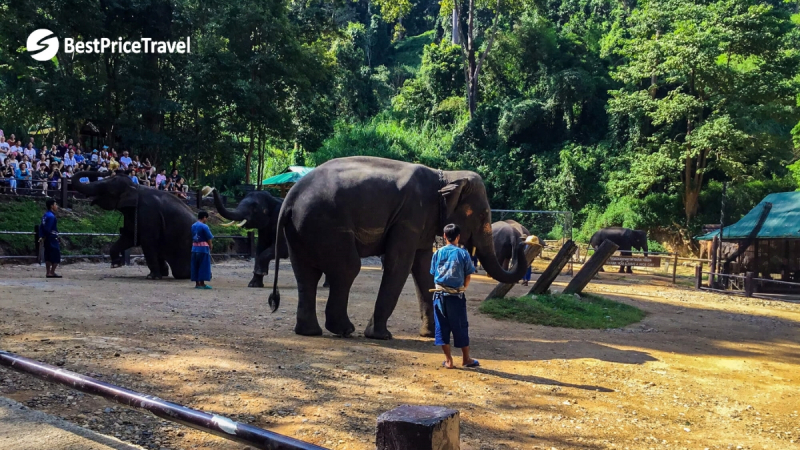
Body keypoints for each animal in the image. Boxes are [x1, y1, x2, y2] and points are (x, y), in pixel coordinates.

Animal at [267, 156, 529, 340]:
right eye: (483, 214)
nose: (525, 242)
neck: (445, 176)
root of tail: (289, 198)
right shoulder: (410, 215)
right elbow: (400, 264)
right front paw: (381, 335)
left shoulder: (422, 221)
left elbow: (424, 268)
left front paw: (430, 335)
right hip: (326, 224)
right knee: (348, 267)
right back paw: (344, 330)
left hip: (301, 231)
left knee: (306, 274)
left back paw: (308, 332)